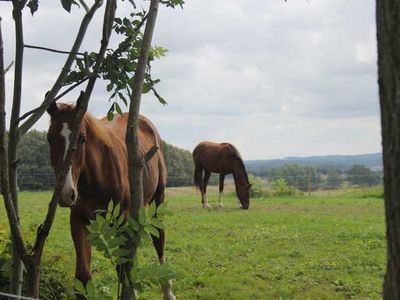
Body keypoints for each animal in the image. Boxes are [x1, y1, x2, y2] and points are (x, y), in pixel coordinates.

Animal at [46, 102, 174, 298]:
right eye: (49, 139)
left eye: (82, 139)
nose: (66, 193)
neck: (96, 176)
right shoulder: (79, 220)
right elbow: (83, 277)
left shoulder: (123, 220)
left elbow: (123, 268)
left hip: (157, 201)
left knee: (158, 240)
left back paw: (168, 292)